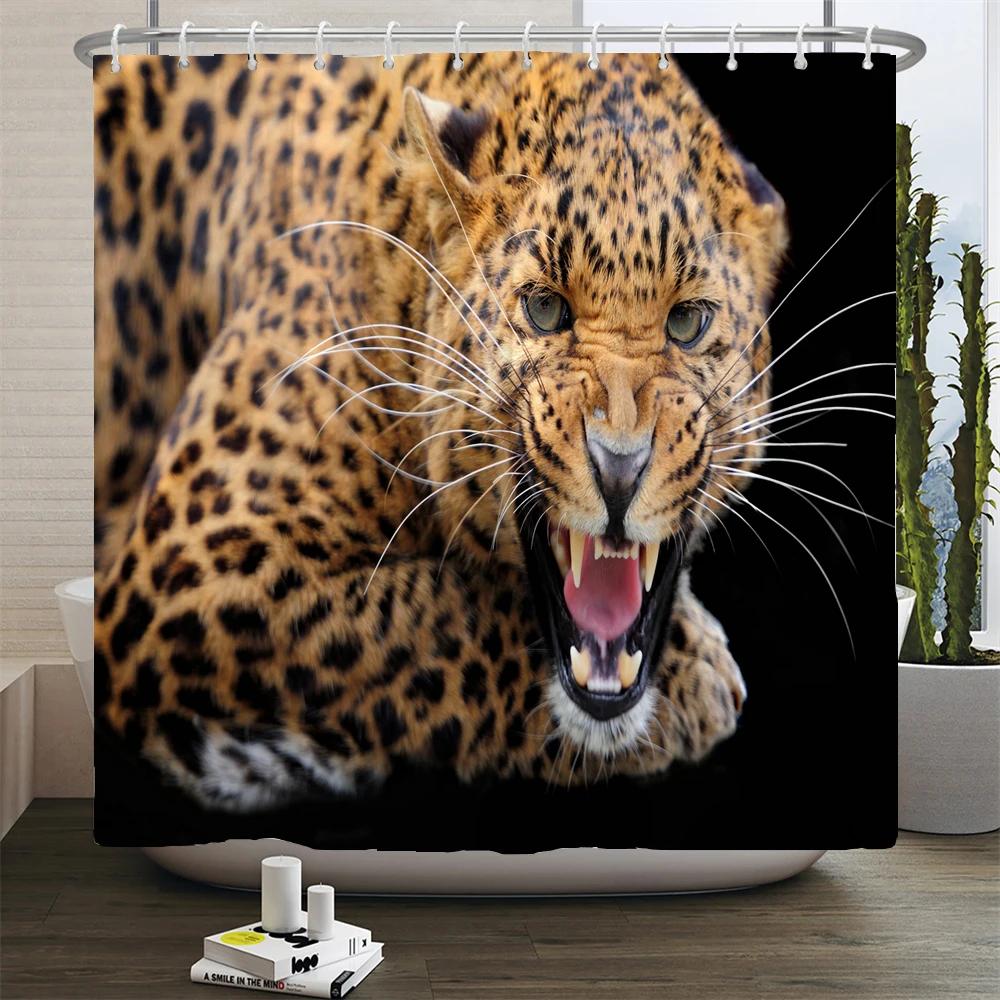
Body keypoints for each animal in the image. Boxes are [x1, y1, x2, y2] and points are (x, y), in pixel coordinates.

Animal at [92, 49, 787, 811]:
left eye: (687, 322)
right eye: (545, 310)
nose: (619, 467)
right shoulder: (186, 570)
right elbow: (421, 619)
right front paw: (696, 682)